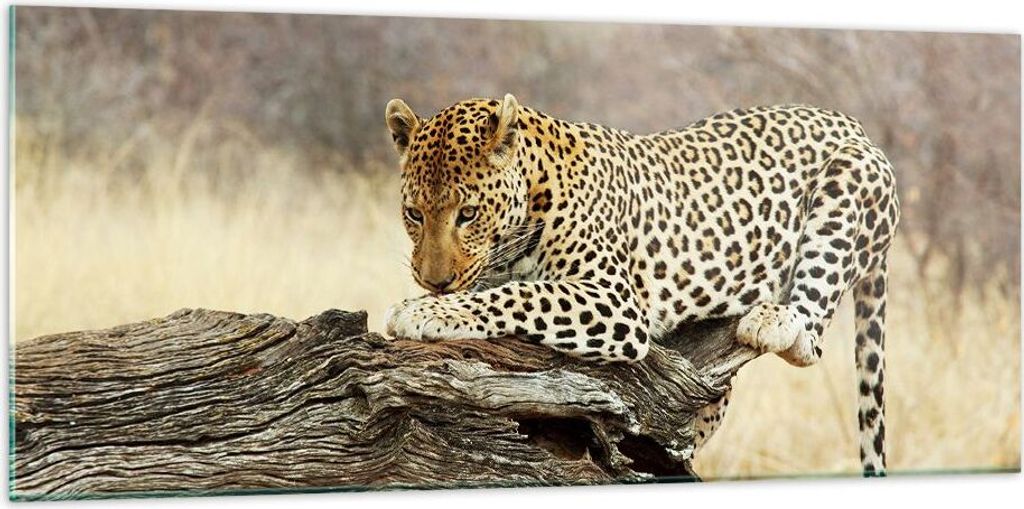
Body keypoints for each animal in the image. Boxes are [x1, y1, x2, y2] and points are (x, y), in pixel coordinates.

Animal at [382, 93, 899, 477]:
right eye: (413, 214)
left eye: (467, 214)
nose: (435, 281)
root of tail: (853, 123)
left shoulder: (614, 300)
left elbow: (521, 295)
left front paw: (424, 312)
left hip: (846, 186)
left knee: (811, 338)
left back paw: (773, 320)